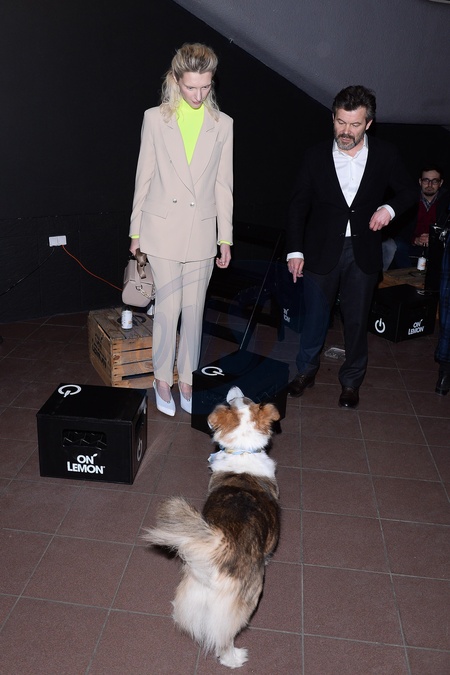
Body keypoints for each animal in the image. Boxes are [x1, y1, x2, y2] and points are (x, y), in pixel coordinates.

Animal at [143, 386, 281, 669]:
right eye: (237, 400)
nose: (234, 388)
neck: (242, 451)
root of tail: (222, 543)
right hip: (244, 601)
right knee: (224, 636)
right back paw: (234, 658)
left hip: (195, 589)